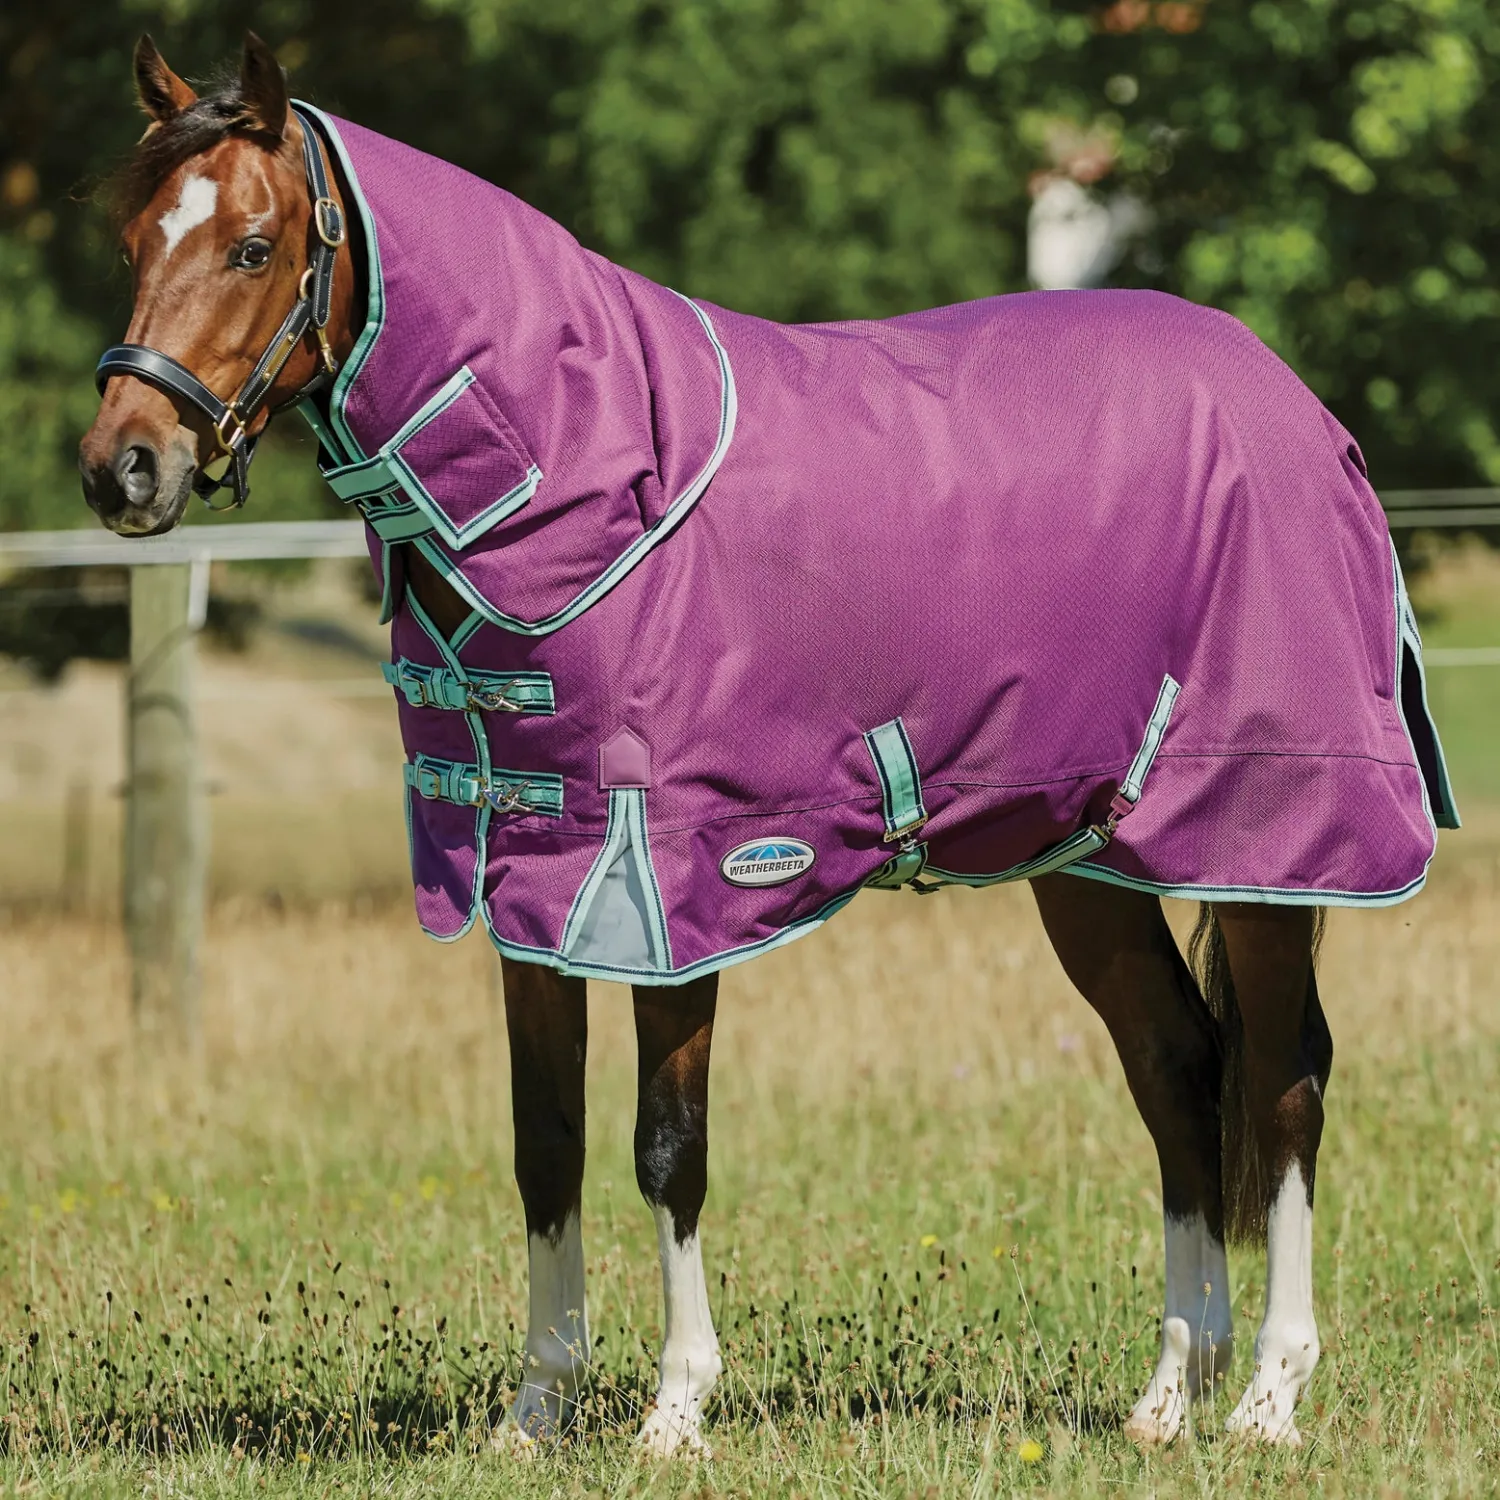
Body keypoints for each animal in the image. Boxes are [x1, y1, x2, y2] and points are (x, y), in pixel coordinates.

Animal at [79, 33, 1455, 1455]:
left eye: (252, 247)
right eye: (131, 235)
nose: (123, 468)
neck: (592, 468)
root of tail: (1300, 408)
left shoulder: (670, 886)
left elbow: (666, 1144)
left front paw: (676, 1409)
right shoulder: (532, 881)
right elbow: (544, 1142)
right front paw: (537, 1408)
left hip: (1271, 846)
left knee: (1285, 1081)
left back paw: (1271, 1395)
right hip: (1088, 863)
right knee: (1179, 1069)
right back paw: (1169, 1393)